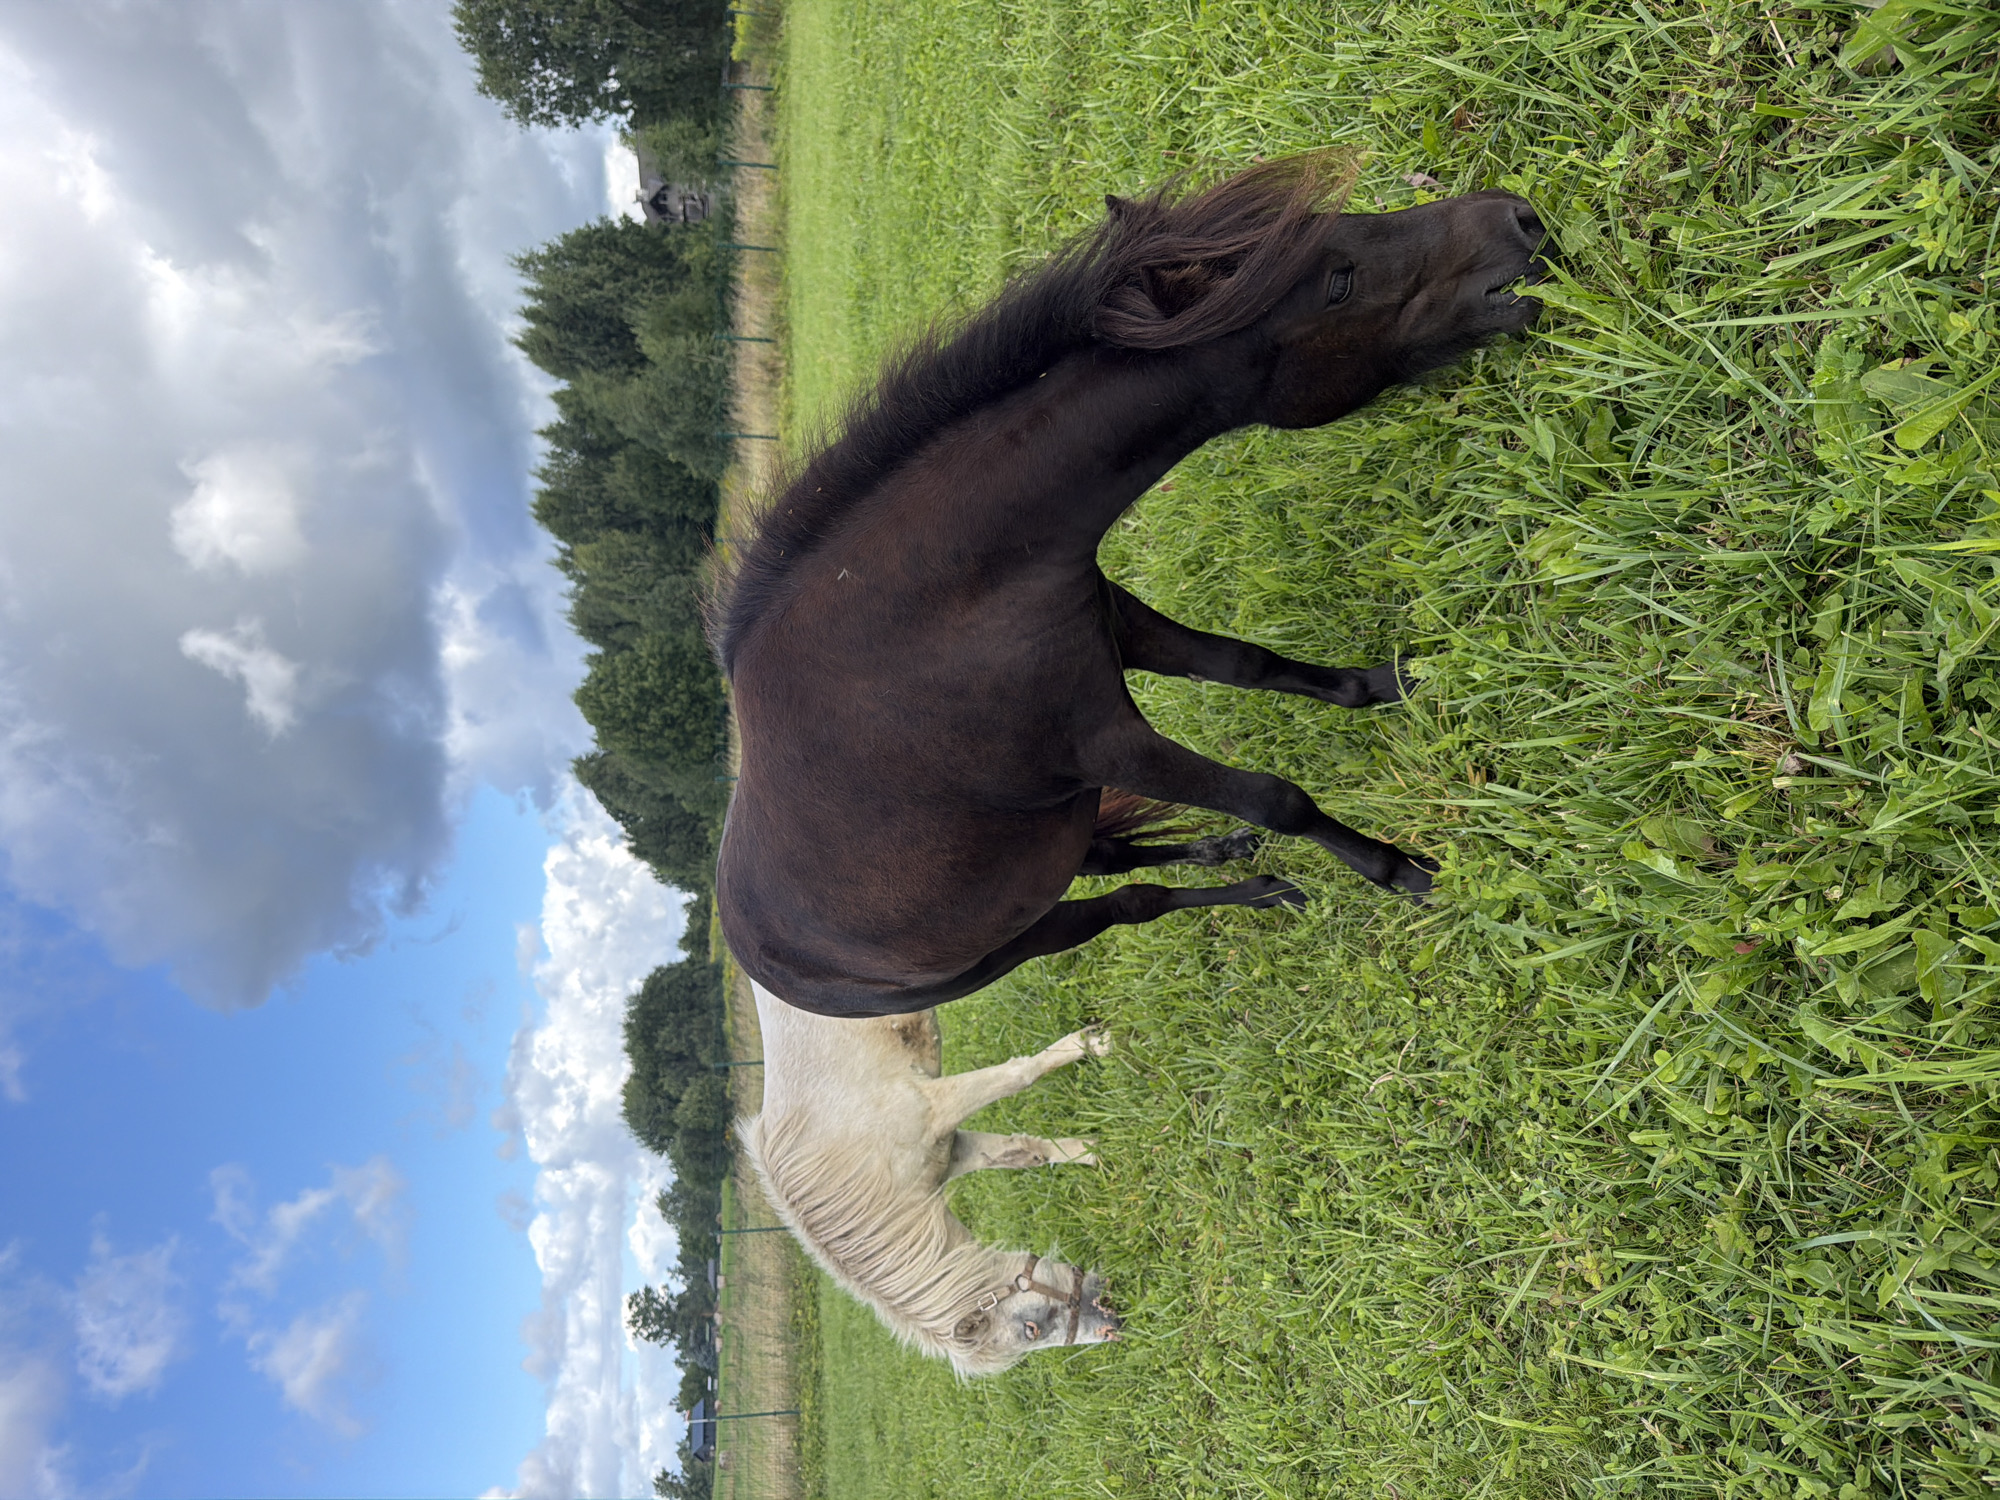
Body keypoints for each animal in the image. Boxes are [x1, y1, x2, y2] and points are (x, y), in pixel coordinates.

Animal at [714, 152, 1548, 1018]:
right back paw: (1257, 886)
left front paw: (1398, 682)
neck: (927, 609)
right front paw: (1401, 871)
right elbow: (1275, 798)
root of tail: (759, 961)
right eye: (1339, 282)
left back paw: (1231, 860)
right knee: (1125, 905)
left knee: (1114, 856)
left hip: (1047, 854)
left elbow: (1252, 665)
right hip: (1015, 942)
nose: (1517, 218)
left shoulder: (1112, 622)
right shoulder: (1101, 742)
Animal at [737, 980, 1121, 1376]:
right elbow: (1027, 1153)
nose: (1112, 1322)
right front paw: (1100, 1152)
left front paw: (1097, 1044)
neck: (855, 1159)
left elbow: (1019, 1076)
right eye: (1031, 1330)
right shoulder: (954, 1151)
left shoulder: (938, 1110)